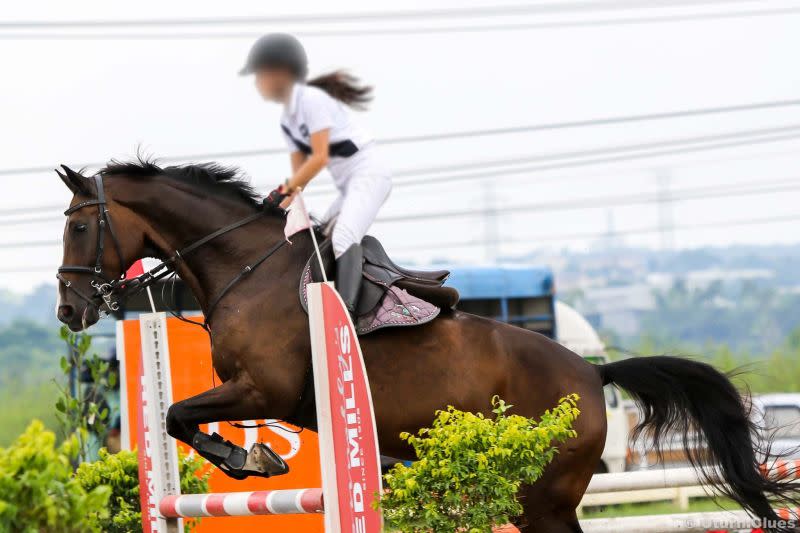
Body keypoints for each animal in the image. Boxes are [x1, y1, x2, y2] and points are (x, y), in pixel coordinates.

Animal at [56, 160, 800, 528]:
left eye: (76, 227)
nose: (69, 309)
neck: (246, 267)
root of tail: (595, 376)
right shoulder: (257, 393)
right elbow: (178, 417)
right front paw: (254, 456)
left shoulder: (262, 389)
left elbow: (178, 414)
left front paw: (252, 458)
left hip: (542, 496)